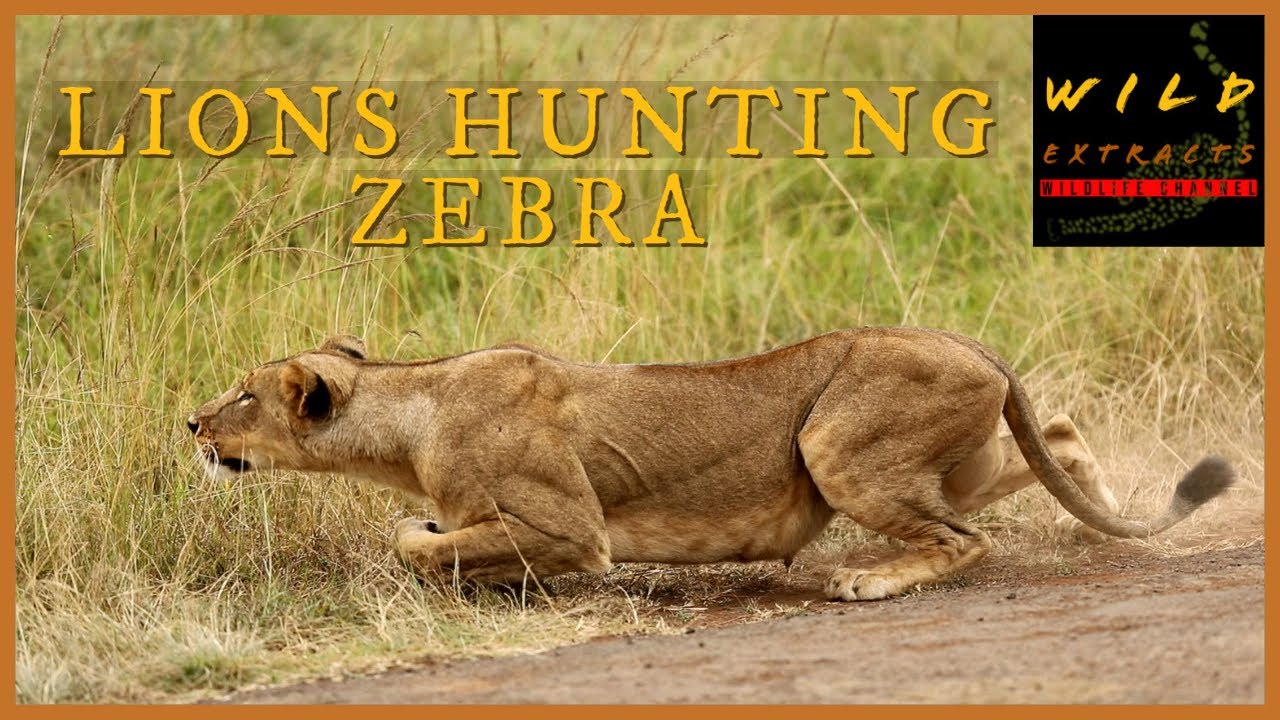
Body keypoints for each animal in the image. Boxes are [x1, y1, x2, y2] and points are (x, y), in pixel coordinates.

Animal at [187, 329, 1234, 601]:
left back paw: (870, 582)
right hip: (952, 453)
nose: (191, 420)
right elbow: (444, 542)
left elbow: (418, 541)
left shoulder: (576, 527)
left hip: (833, 443)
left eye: (243, 395)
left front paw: (434, 547)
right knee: (1061, 432)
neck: (411, 413)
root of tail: (972, 346)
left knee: (965, 541)